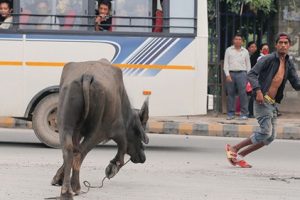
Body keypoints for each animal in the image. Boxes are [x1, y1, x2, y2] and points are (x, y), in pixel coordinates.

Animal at [52, 58, 150, 200]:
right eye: (139, 135)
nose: (143, 157)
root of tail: (87, 76)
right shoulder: (116, 130)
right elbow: (122, 147)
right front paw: (112, 168)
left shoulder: (77, 132)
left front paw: (57, 178)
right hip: (98, 131)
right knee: (80, 153)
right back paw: (76, 187)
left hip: (65, 124)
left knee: (69, 151)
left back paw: (66, 191)